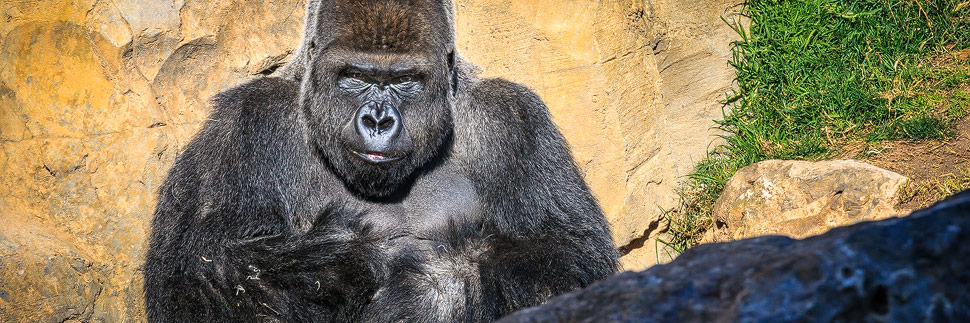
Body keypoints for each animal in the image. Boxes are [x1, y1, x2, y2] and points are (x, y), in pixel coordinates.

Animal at [142, 0, 620, 322]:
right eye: (355, 76)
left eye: (405, 80)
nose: (377, 120)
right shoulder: (244, 122)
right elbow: (198, 275)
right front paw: (340, 261)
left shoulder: (511, 119)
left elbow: (569, 257)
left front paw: (425, 289)